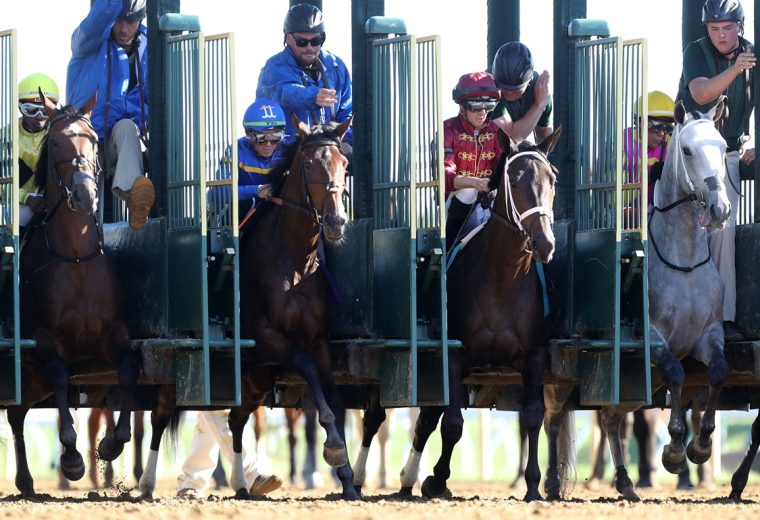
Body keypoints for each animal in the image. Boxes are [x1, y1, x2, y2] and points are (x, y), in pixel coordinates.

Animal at [10, 93, 139, 496]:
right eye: (55, 144)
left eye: (93, 139)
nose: (85, 195)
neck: (77, 259)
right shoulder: (43, 340)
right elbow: (61, 377)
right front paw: (71, 458)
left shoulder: (115, 333)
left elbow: (128, 370)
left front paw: (111, 444)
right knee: (16, 412)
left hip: (31, 382)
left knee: (16, 412)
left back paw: (25, 480)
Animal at [352, 126, 564, 500]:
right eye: (514, 179)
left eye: (551, 178)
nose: (544, 244)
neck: (502, 278)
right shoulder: (453, 352)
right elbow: (452, 424)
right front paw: (436, 480)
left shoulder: (535, 353)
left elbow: (532, 415)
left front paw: (533, 486)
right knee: (376, 417)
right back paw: (359, 477)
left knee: (424, 420)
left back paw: (406, 479)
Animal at [592, 99, 732, 502]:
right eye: (686, 150)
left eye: (722, 147)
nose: (720, 209)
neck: (683, 259)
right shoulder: (651, 338)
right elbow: (676, 373)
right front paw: (674, 451)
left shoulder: (709, 334)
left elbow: (719, 371)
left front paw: (700, 446)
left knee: (612, 418)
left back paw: (625, 481)